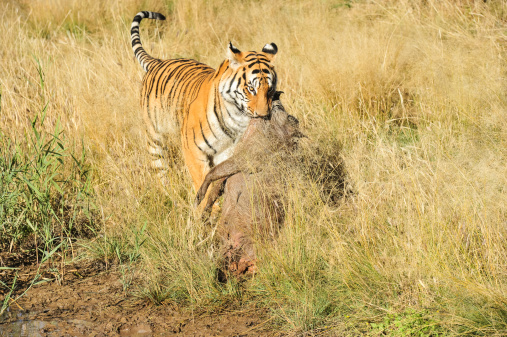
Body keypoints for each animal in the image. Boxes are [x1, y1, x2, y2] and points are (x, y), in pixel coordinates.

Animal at [129, 11, 278, 189]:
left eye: (270, 89)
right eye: (251, 89)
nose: (264, 115)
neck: (237, 118)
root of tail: (158, 62)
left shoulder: (226, 152)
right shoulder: (193, 151)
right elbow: (202, 182)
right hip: (155, 136)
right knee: (159, 166)